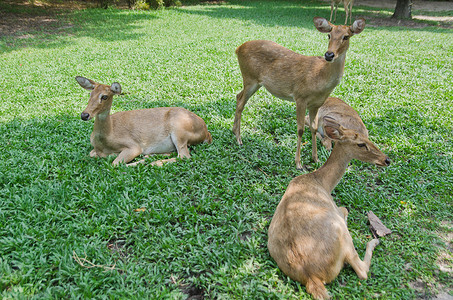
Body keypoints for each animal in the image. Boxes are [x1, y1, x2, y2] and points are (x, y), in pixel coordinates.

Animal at [76, 76, 212, 166]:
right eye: (90, 94)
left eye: (104, 96)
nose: (84, 115)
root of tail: (206, 133)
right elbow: (92, 154)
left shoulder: (133, 145)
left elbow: (115, 163)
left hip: (180, 129)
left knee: (184, 156)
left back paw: (153, 162)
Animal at [231, 17, 366, 170]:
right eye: (329, 35)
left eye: (346, 36)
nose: (329, 54)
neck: (320, 79)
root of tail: (238, 49)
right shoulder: (300, 97)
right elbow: (300, 129)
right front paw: (298, 163)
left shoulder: (316, 105)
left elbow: (314, 128)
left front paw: (315, 159)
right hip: (250, 78)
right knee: (241, 102)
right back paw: (239, 139)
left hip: (254, 82)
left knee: (238, 96)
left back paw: (234, 131)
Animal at [266, 114, 390, 298]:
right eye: (361, 144)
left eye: (368, 138)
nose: (386, 160)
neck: (323, 183)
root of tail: (312, 278)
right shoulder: (336, 209)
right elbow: (345, 208)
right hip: (341, 234)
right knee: (361, 271)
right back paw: (374, 241)